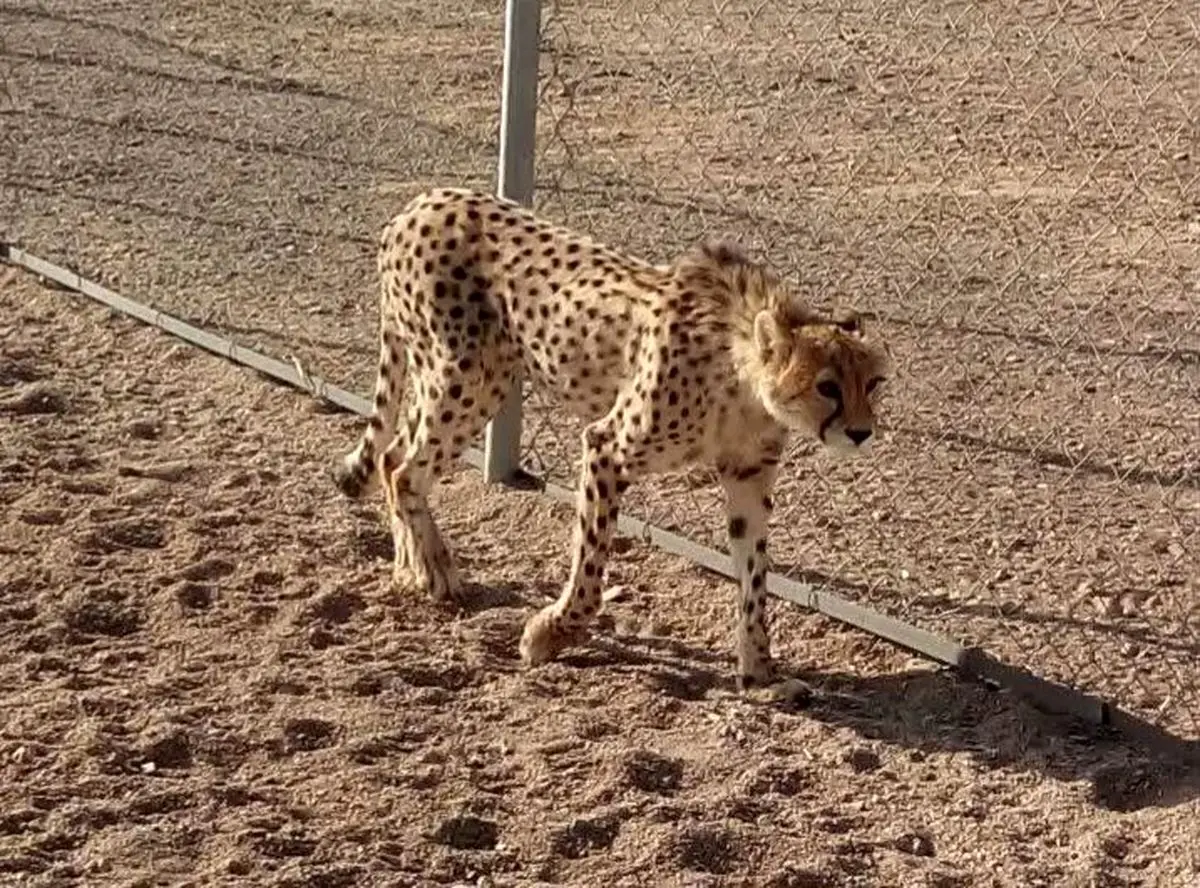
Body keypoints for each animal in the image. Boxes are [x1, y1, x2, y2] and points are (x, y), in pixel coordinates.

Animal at [333, 186, 888, 686]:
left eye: (873, 383)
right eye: (827, 386)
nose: (861, 433)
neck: (743, 377)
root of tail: (420, 203)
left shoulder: (748, 474)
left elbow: (754, 577)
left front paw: (759, 673)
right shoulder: (606, 447)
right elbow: (592, 562)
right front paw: (550, 633)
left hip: (451, 376)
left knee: (392, 459)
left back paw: (409, 567)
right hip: (470, 378)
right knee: (405, 470)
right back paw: (436, 570)